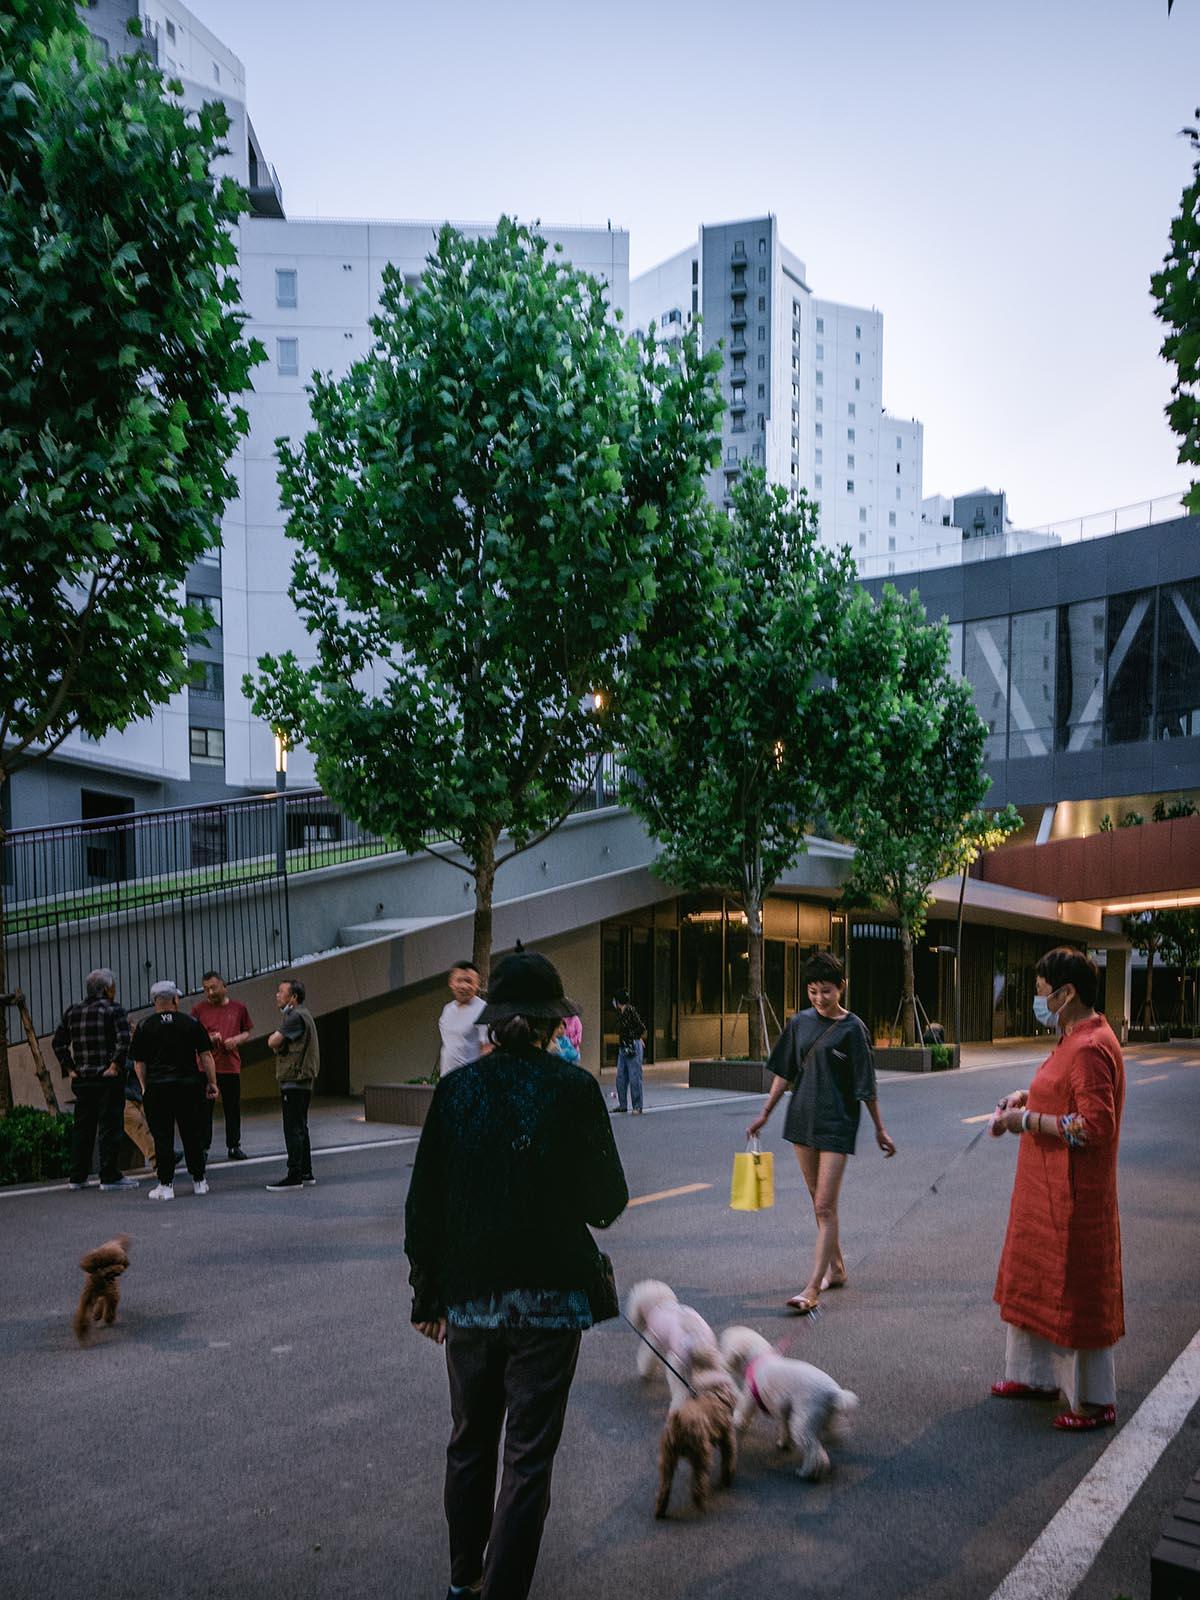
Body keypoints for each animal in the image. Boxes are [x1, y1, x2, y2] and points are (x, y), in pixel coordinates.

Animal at [630, 1280, 723, 1408]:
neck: (657, 1303)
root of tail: (696, 1336)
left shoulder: (653, 1340)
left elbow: (647, 1357)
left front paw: (645, 1372)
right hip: (711, 1361)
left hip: (677, 1364)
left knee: (680, 1389)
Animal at [652, 1344, 739, 1516]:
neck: (716, 1394)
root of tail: (678, 1421)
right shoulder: (727, 1436)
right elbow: (729, 1456)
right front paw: (727, 1478)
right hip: (700, 1453)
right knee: (698, 1480)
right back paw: (700, 1501)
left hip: (667, 1457)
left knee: (665, 1484)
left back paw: (660, 1510)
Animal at [720, 1318, 857, 1478]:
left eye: (723, 1346)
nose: (721, 1360)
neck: (759, 1357)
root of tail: (833, 1392)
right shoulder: (784, 1409)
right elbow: (784, 1426)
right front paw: (784, 1443)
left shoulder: (750, 1396)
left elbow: (744, 1410)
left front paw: (737, 1421)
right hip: (827, 1414)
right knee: (836, 1430)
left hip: (804, 1417)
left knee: (813, 1450)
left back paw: (807, 1472)